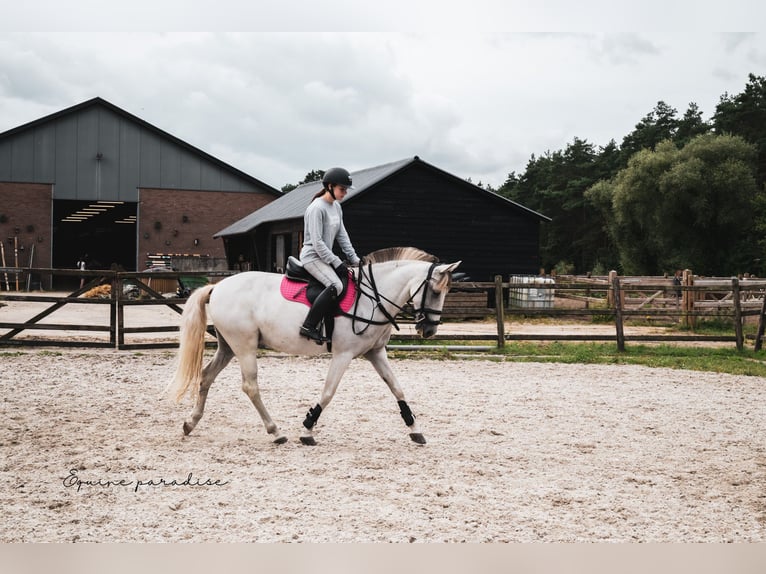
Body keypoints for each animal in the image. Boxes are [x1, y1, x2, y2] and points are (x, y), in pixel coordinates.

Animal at [167, 248, 462, 446]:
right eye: (436, 291)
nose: (429, 330)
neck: (373, 298)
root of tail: (217, 287)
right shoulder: (343, 354)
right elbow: (329, 392)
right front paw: (308, 428)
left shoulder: (375, 353)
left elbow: (397, 388)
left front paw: (415, 429)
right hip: (245, 347)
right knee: (250, 386)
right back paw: (276, 432)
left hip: (228, 347)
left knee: (206, 377)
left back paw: (190, 423)